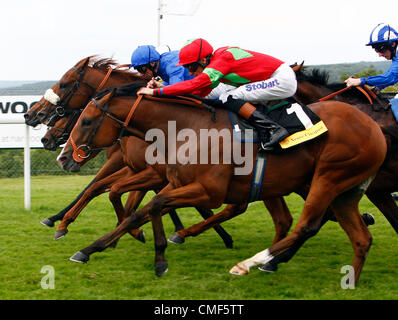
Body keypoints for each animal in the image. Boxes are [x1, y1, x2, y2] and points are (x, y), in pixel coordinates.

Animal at [58, 84, 386, 284]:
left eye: (86, 121)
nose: (63, 156)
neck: (187, 128)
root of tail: (375, 128)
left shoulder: (208, 191)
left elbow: (154, 204)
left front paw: (160, 255)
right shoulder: (174, 182)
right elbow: (143, 210)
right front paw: (91, 248)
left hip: (329, 177)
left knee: (306, 225)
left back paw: (252, 263)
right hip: (342, 190)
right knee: (359, 237)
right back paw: (349, 280)